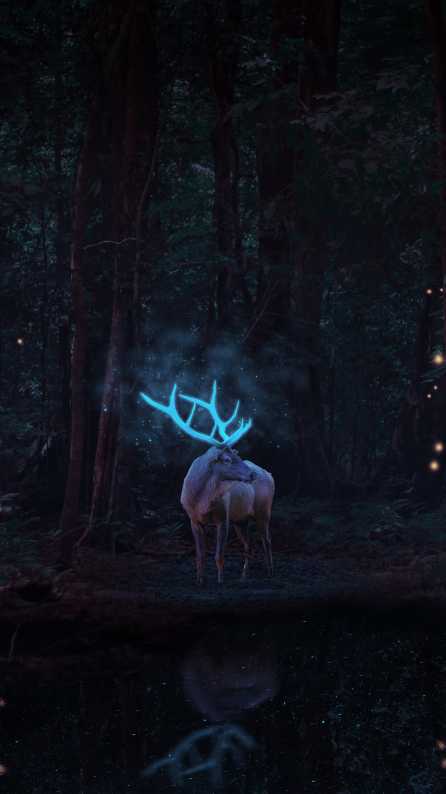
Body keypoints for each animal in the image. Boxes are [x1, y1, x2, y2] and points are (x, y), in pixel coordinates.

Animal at [140, 381, 274, 584]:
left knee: (267, 541)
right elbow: (200, 555)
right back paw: (243, 577)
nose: (252, 474)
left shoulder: (223, 518)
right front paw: (200, 581)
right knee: (248, 544)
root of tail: (269, 474)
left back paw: (269, 572)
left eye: (238, 455)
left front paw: (220, 581)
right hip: (241, 520)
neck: (200, 499)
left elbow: (219, 555)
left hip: (263, 511)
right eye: (227, 460)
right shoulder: (193, 519)